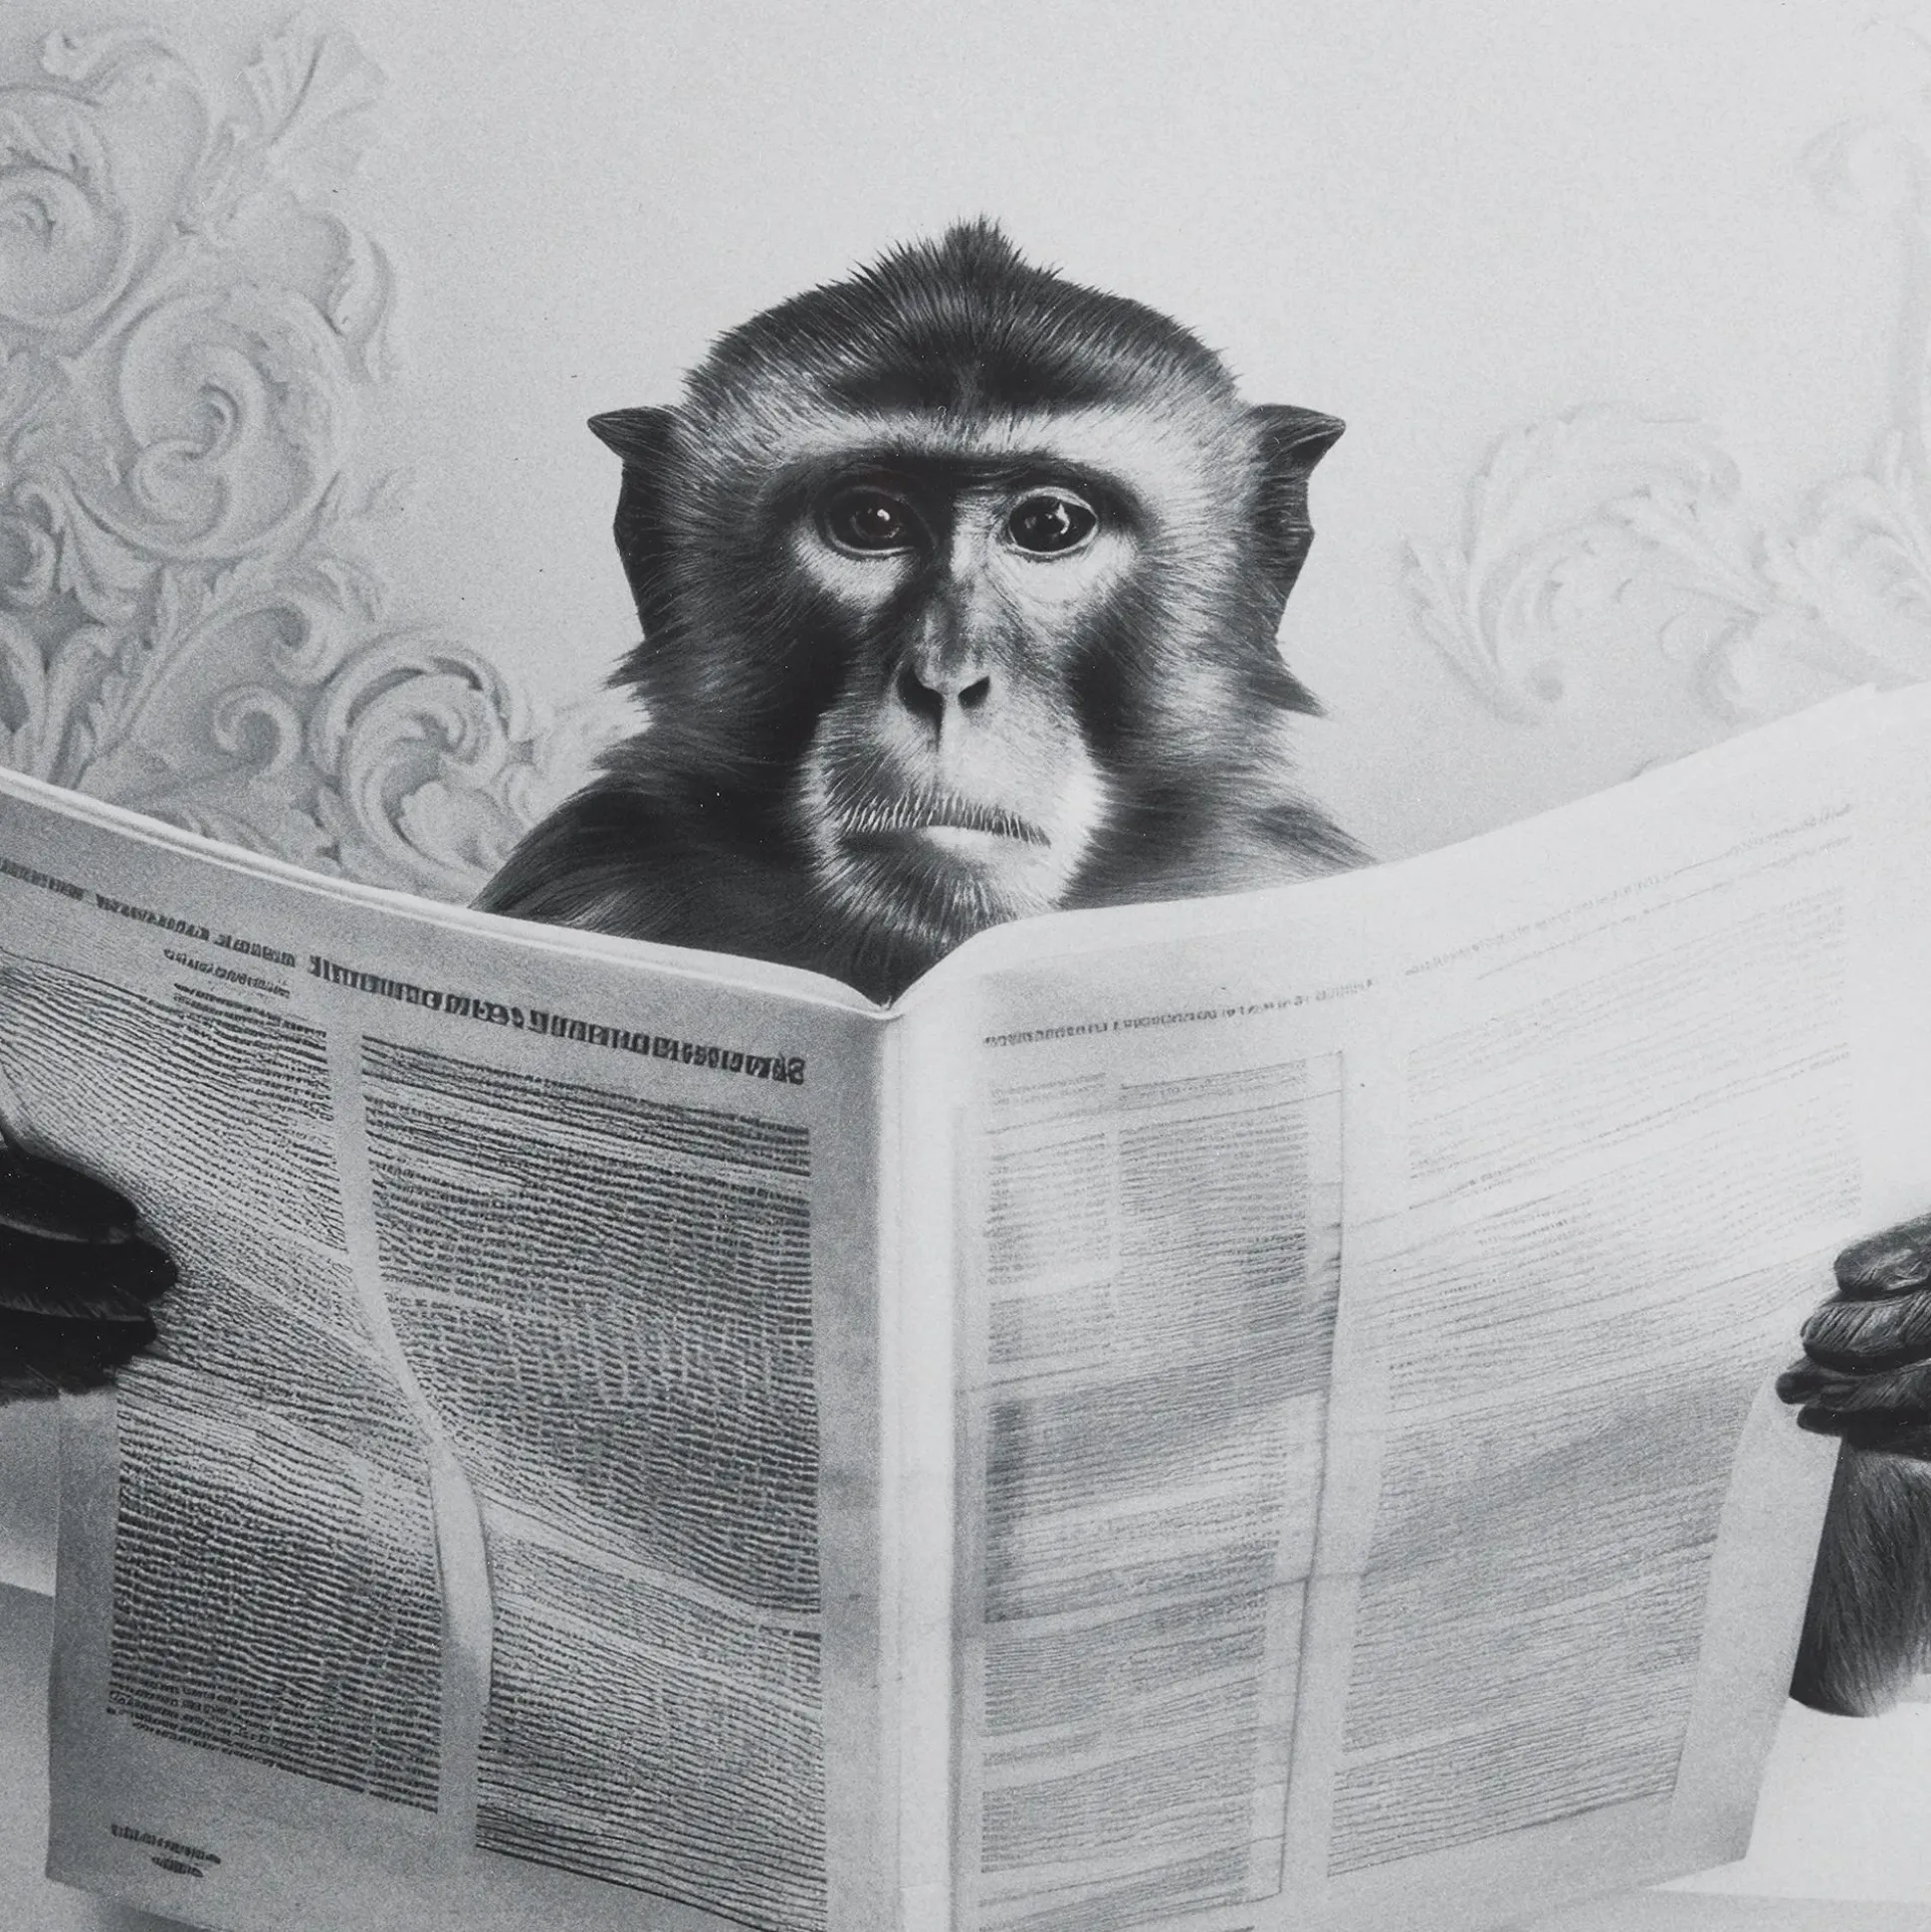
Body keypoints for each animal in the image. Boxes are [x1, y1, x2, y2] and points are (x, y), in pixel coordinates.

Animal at [0, 221, 1925, 1724]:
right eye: (866, 517)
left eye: (1051, 526)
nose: (946, 677)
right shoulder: (591, 891)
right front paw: (28, 1266)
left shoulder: (1280, 892)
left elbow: (1808, 1673)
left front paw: (1908, 1341)